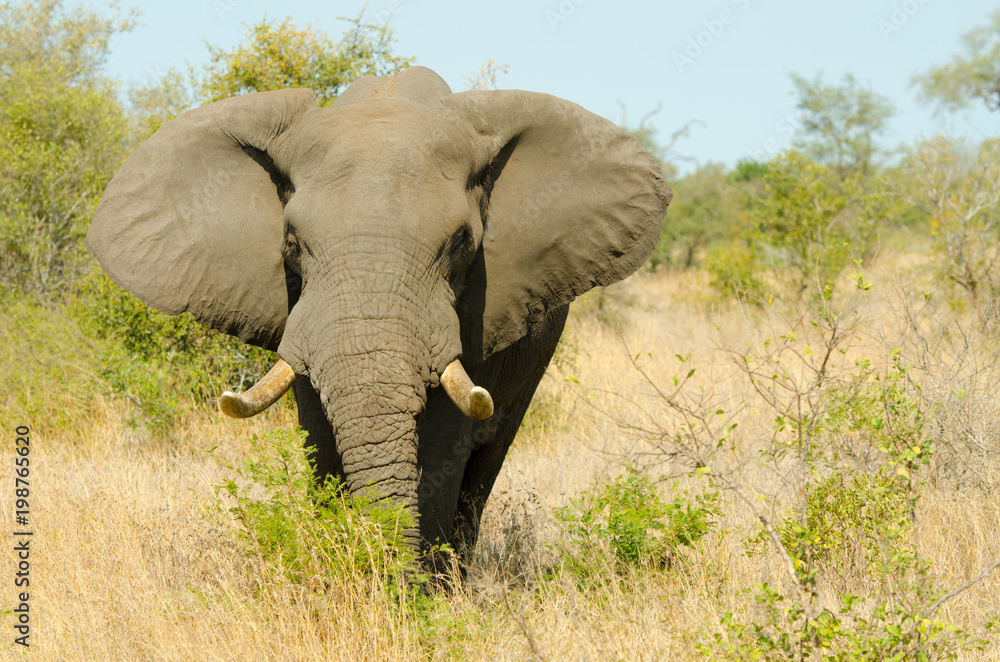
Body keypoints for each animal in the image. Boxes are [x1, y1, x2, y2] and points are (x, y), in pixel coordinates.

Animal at [86, 66, 671, 558]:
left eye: (461, 244)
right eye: (292, 243)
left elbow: (442, 445)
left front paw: (423, 600)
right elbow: (320, 440)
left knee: (487, 461)